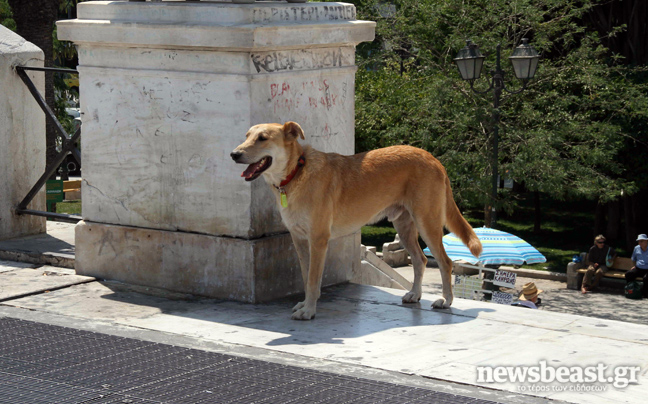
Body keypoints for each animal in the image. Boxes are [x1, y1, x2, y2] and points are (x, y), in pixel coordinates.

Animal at [232, 121, 480, 320]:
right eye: (246, 135)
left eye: (262, 138)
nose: (234, 154)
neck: (296, 173)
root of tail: (433, 158)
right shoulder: (299, 240)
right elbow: (305, 277)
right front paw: (305, 304)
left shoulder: (318, 240)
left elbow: (313, 280)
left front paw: (309, 310)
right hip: (404, 226)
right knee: (420, 260)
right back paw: (415, 294)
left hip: (427, 223)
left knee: (445, 262)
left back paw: (446, 300)